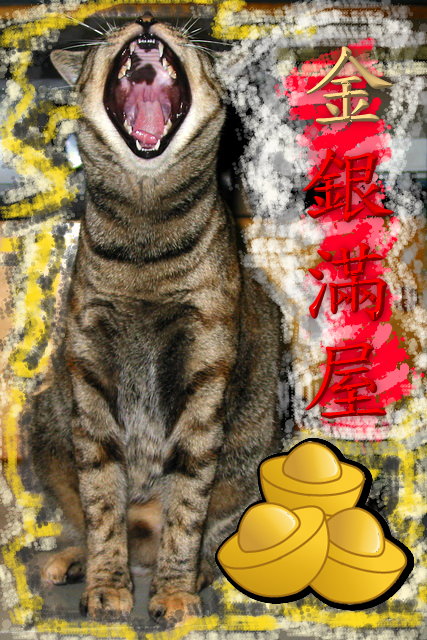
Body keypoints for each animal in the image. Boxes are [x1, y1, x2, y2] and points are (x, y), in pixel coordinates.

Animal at [30, 14, 284, 625]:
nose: (146, 16)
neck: (144, 244)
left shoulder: (205, 374)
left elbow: (187, 507)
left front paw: (173, 592)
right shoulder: (89, 375)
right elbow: (100, 502)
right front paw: (106, 584)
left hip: (254, 454)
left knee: (209, 528)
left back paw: (201, 573)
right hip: (45, 422)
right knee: (89, 518)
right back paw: (72, 559)